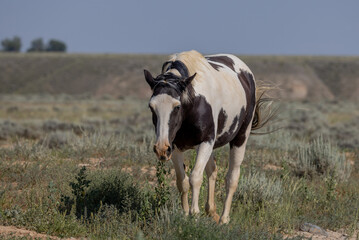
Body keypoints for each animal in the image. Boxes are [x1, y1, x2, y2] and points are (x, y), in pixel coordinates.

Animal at [143, 49, 270, 224]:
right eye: (151, 106)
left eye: (177, 106)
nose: (161, 149)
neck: (193, 103)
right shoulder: (175, 146)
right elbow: (182, 180)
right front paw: (185, 214)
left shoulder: (206, 142)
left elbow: (195, 177)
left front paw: (194, 214)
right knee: (212, 171)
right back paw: (211, 211)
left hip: (240, 139)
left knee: (232, 178)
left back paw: (224, 218)